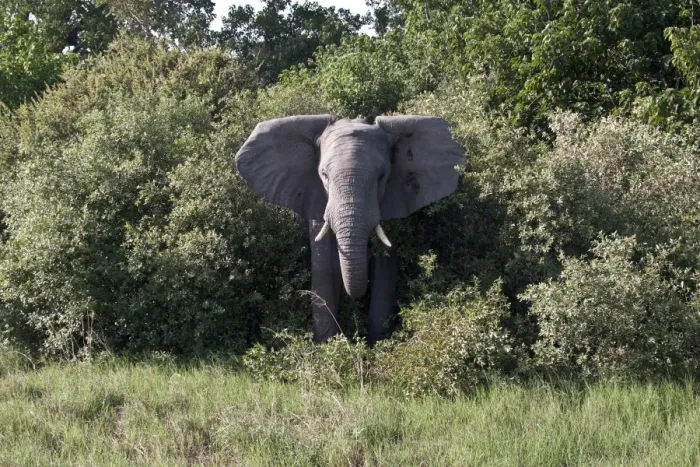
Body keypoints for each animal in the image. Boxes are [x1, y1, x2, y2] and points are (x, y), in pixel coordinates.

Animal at [235, 115, 465, 344]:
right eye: (324, 175)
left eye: (382, 176)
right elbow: (324, 263)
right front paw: (329, 345)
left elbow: (385, 263)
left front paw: (378, 343)